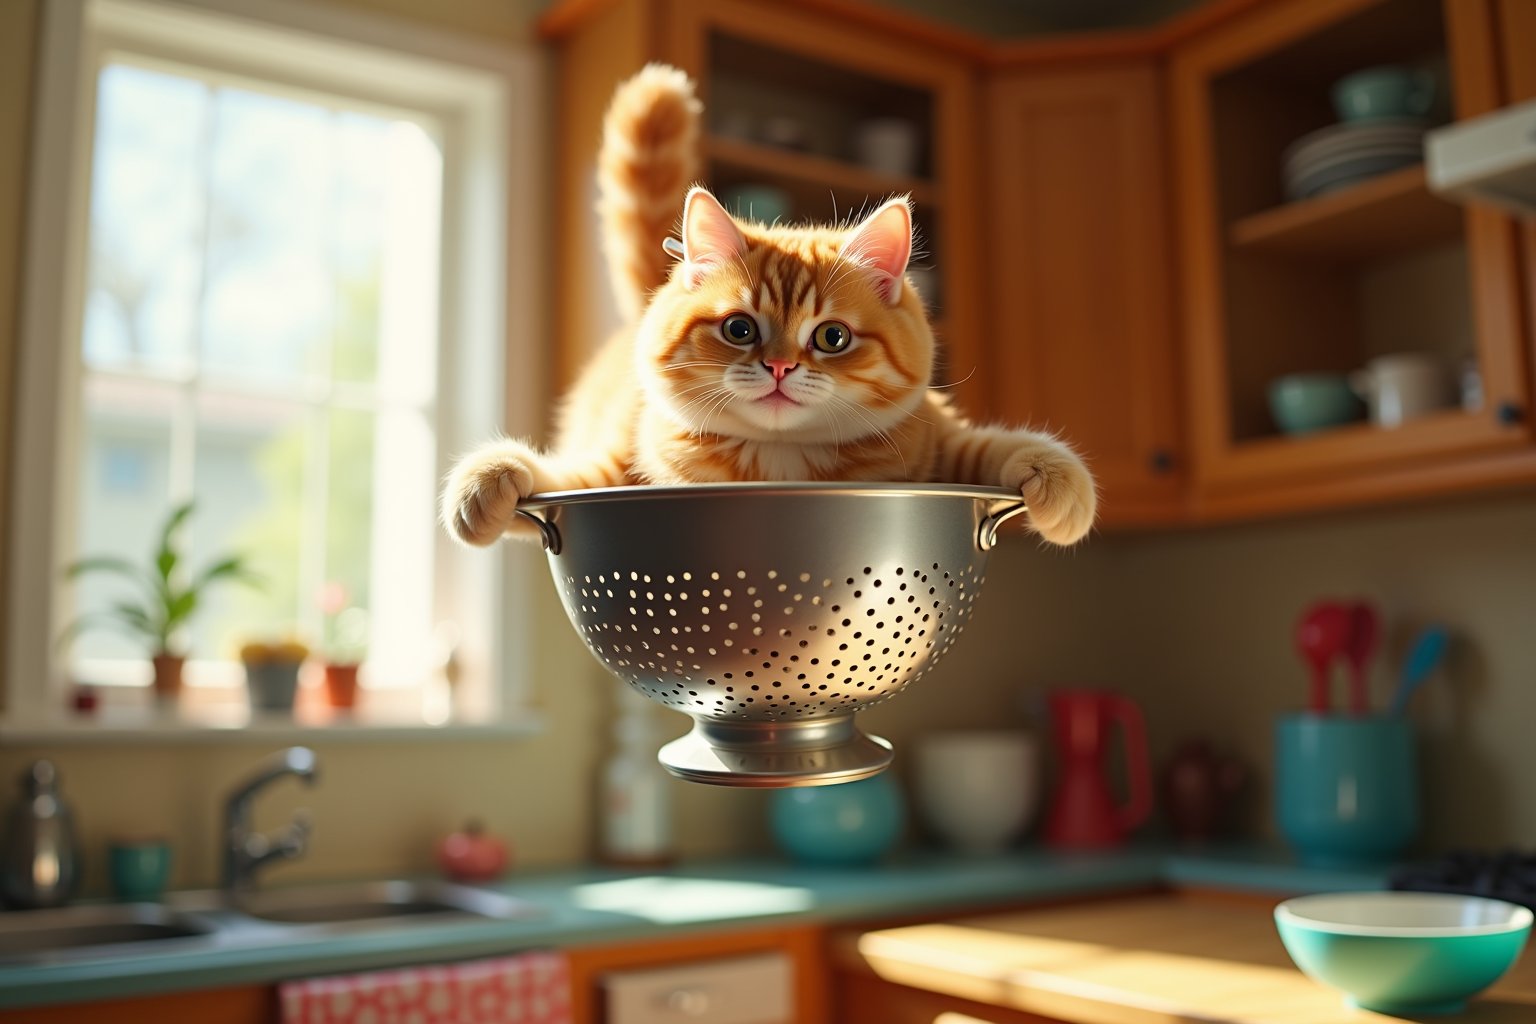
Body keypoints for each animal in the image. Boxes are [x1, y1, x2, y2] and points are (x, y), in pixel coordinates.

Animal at [439, 64, 1099, 543]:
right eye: (739, 329)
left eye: (832, 337)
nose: (780, 367)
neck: (780, 459)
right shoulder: (613, 467)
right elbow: (555, 475)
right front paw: (487, 481)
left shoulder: (936, 437)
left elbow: (996, 445)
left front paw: (1060, 484)